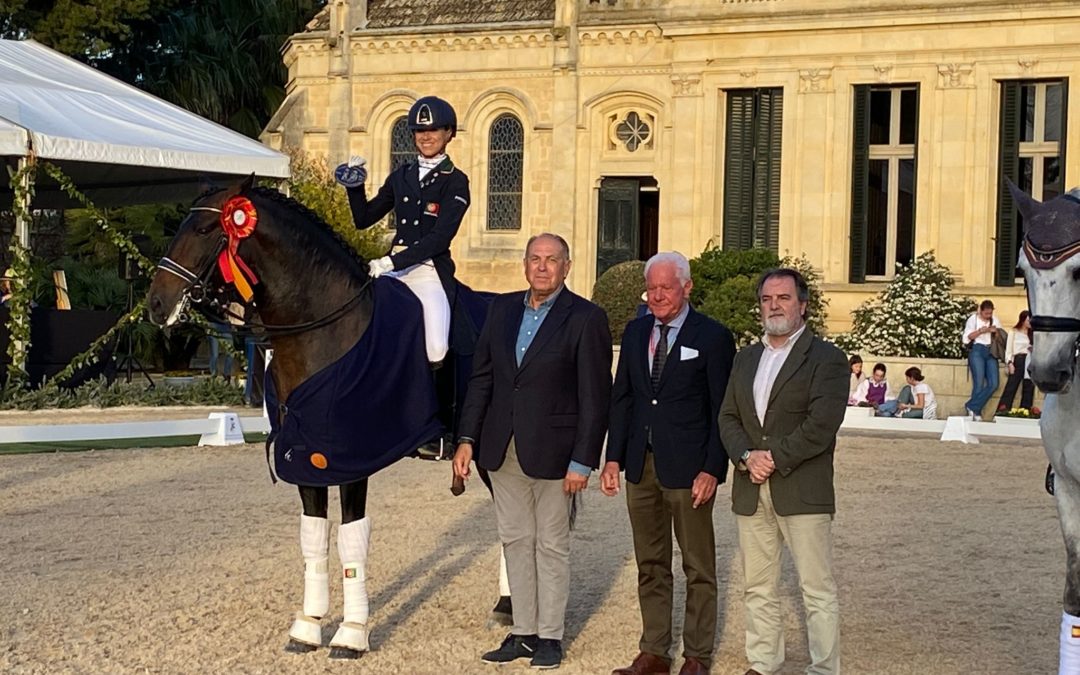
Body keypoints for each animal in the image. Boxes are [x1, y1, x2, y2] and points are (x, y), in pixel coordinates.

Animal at [145, 174, 449, 656]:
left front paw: (352, 633)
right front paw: (308, 625)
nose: (157, 304)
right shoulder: (306, 456)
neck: (327, 327)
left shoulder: (350, 460)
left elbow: (351, 540)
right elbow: (314, 536)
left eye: (205, 230)